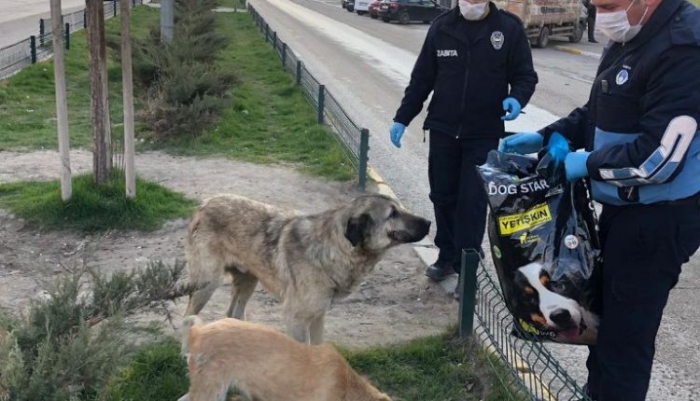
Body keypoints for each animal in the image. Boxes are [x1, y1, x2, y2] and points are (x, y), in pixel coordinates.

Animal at [183, 192, 430, 342]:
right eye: (393, 214)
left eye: (400, 208)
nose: (429, 223)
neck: (330, 249)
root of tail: (203, 204)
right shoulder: (295, 319)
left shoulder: (318, 316)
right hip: (207, 285)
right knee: (187, 317)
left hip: (248, 281)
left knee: (233, 313)